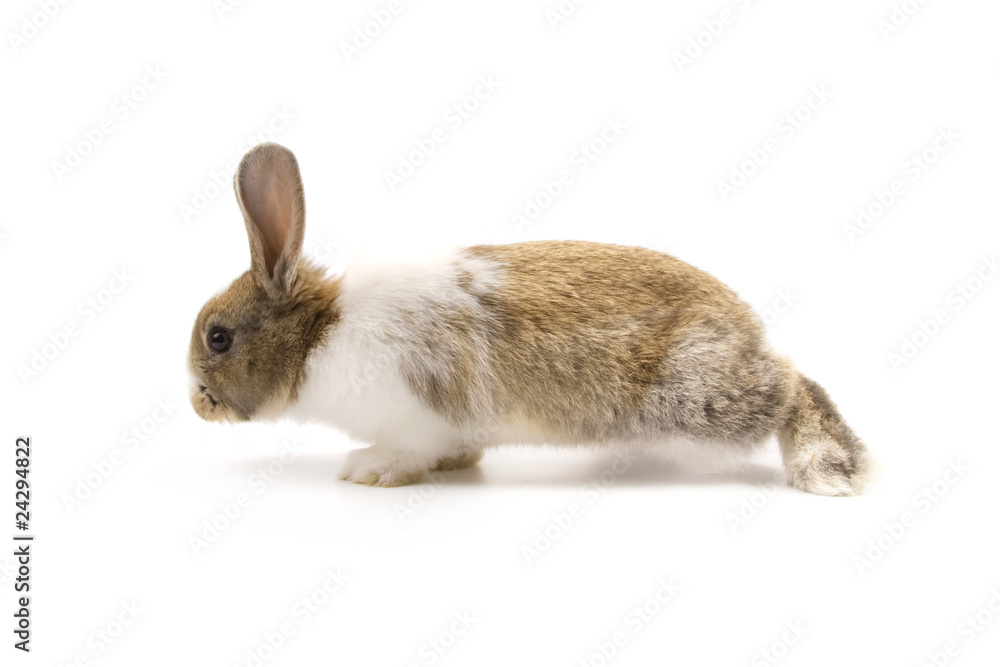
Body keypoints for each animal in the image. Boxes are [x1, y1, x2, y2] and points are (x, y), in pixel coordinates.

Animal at [188, 142, 871, 496]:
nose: (197, 404)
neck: (317, 336)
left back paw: (830, 468)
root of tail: (748, 330)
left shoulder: (417, 413)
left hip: (698, 396)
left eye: (218, 338)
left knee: (794, 389)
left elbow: (408, 449)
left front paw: (370, 471)